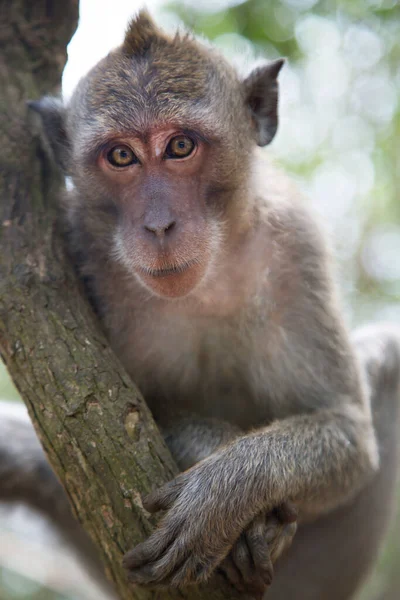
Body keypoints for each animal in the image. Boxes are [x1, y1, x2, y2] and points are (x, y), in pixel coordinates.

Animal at [0, 9, 400, 600]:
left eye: (180, 147)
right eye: (121, 156)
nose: (159, 225)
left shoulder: (296, 246)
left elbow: (348, 433)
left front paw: (224, 493)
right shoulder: (73, 240)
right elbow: (102, 416)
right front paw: (215, 448)